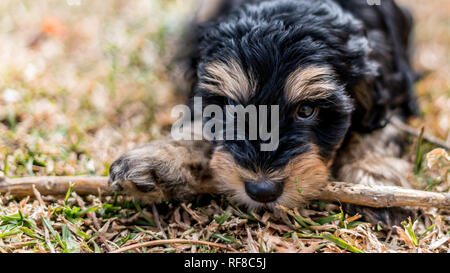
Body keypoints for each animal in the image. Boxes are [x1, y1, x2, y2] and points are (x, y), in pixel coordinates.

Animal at [110, 0, 420, 225]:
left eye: (306, 109)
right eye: (232, 108)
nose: (262, 191)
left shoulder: (392, 89)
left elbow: (378, 132)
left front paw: (378, 182)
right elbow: (196, 123)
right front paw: (157, 159)